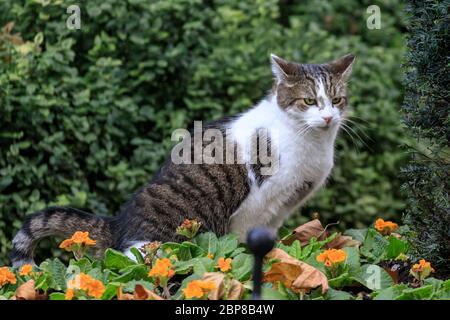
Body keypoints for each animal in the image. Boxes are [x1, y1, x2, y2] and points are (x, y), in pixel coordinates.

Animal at [10, 52, 356, 266]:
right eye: (308, 101)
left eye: (337, 99)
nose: (328, 117)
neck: (313, 144)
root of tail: (117, 225)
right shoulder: (256, 205)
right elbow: (242, 238)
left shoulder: (280, 209)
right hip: (159, 244)